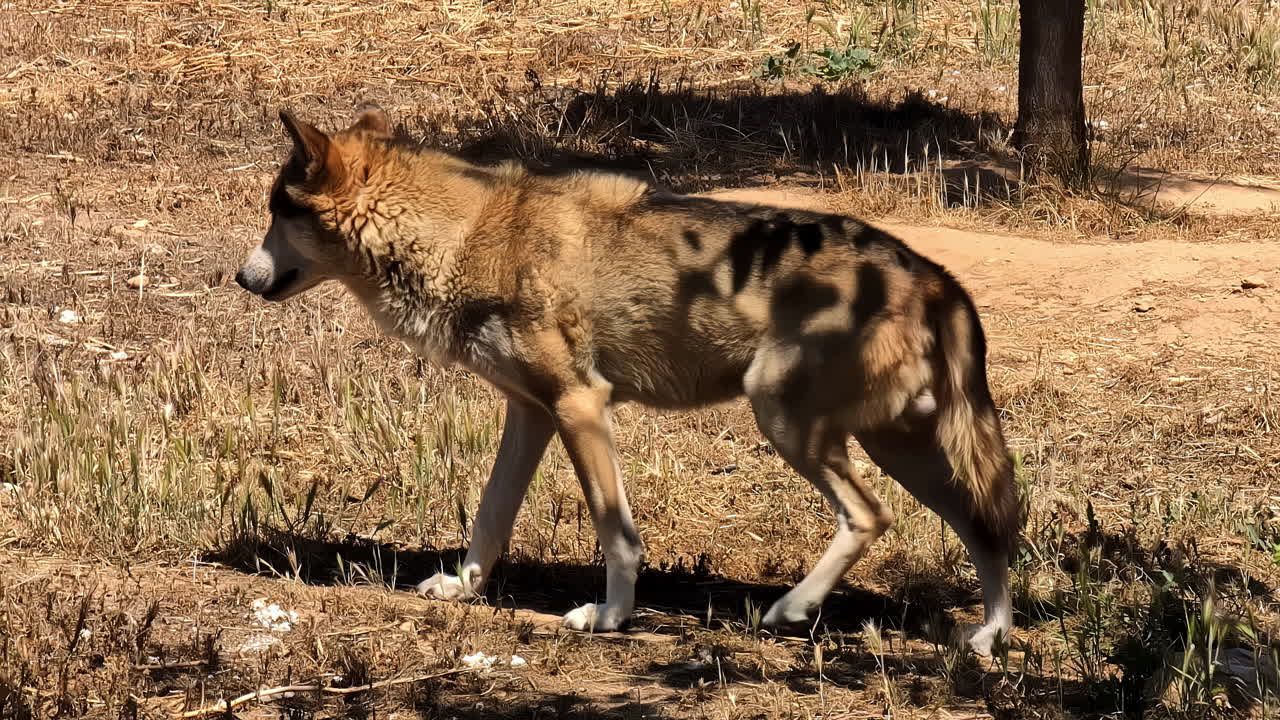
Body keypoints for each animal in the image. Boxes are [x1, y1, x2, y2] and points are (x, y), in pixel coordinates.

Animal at [235, 104, 1021, 656]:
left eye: (276, 212)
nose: (242, 278)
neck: (467, 237)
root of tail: (934, 276)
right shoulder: (532, 414)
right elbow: (490, 517)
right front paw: (463, 589)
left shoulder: (582, 406)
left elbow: (616, 534)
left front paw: (610, 617)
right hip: (898, 448)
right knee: (989, 529)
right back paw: (987, 639)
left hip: (787, 423)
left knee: (872, 516)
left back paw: (793, 608)